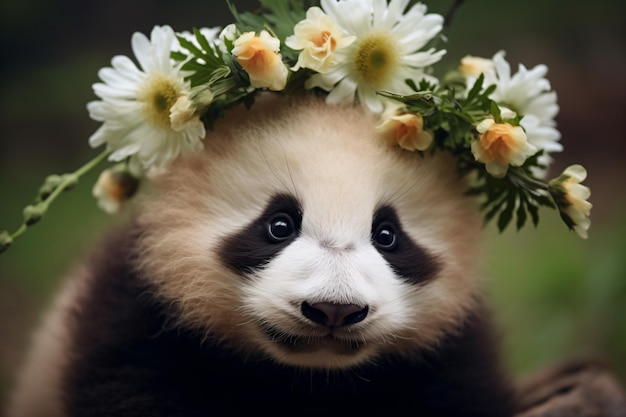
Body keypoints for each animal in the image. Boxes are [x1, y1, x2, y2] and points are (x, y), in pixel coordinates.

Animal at [8, 94, 512, 416]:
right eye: (279, 225)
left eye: (388, 235)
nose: (333, 310)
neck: (309, 378)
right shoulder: (134, 315)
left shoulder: (451, 355)